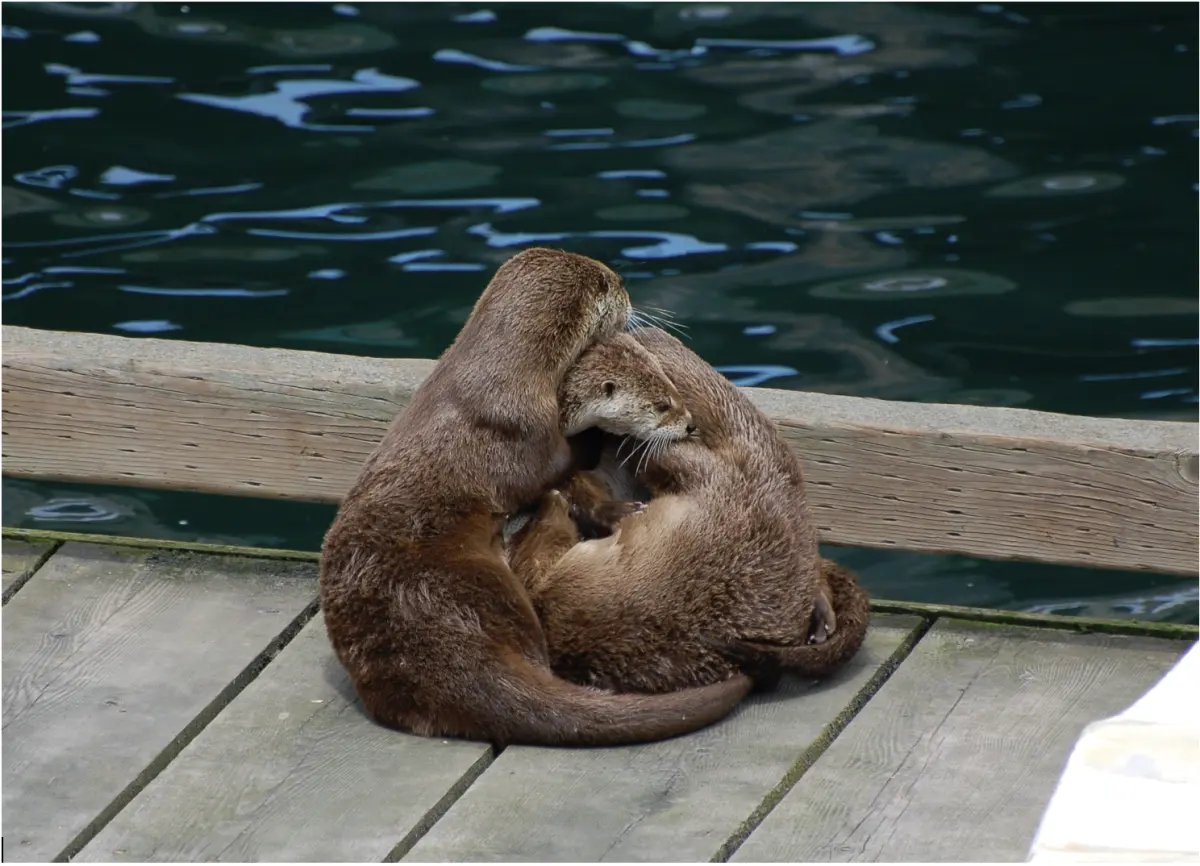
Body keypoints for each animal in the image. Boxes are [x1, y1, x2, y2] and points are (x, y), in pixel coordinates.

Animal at [320, 250, 755, 747]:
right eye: (618, 284)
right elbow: (555, 464)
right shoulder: (525, 426)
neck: (507, 373)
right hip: (471, 580)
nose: (630, 295)